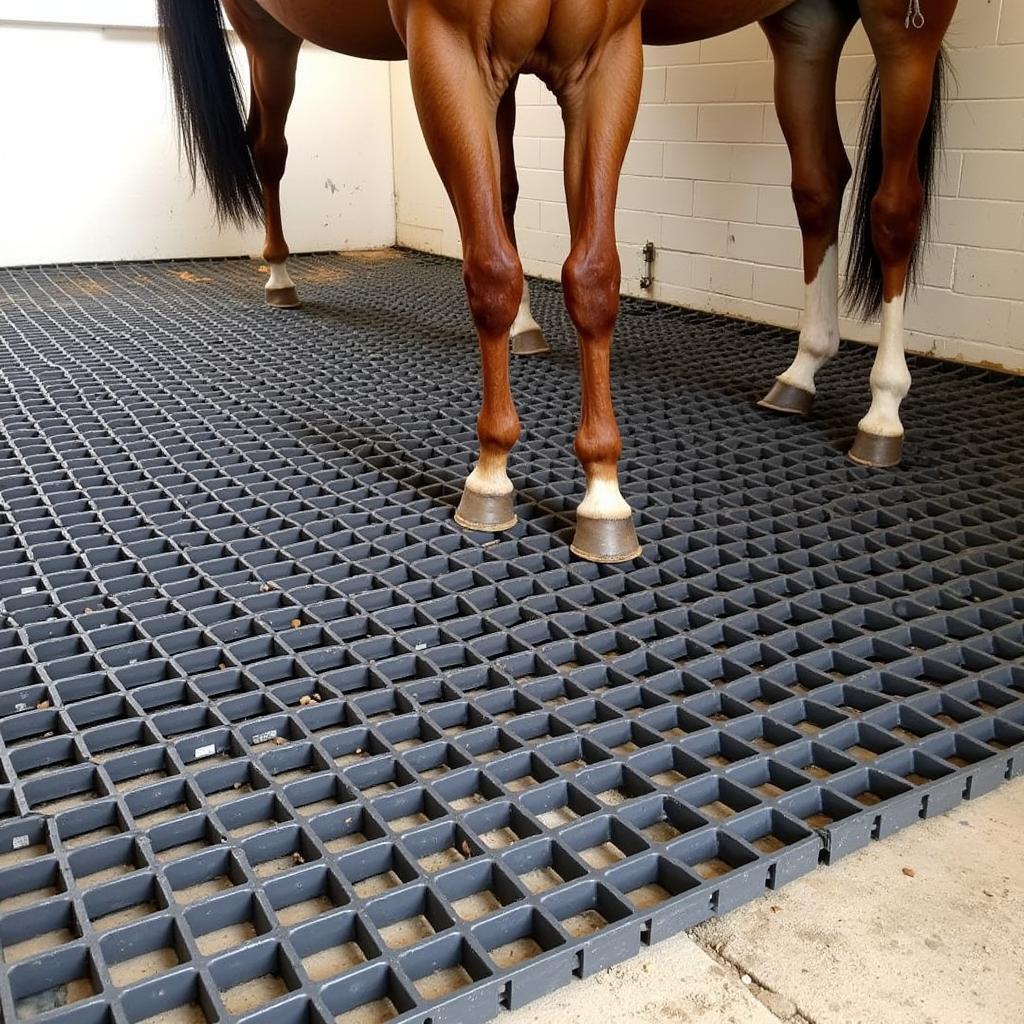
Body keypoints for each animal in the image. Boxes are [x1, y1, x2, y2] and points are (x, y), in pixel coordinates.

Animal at [155, 0, 954, 561]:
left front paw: (602, 493)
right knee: (269, 145)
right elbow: (492, 262)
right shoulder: (454, 51)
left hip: (882, 19)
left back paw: (873, 404)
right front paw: (493, 469)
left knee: (884, 206)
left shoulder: (605, 57)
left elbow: (592, 274)